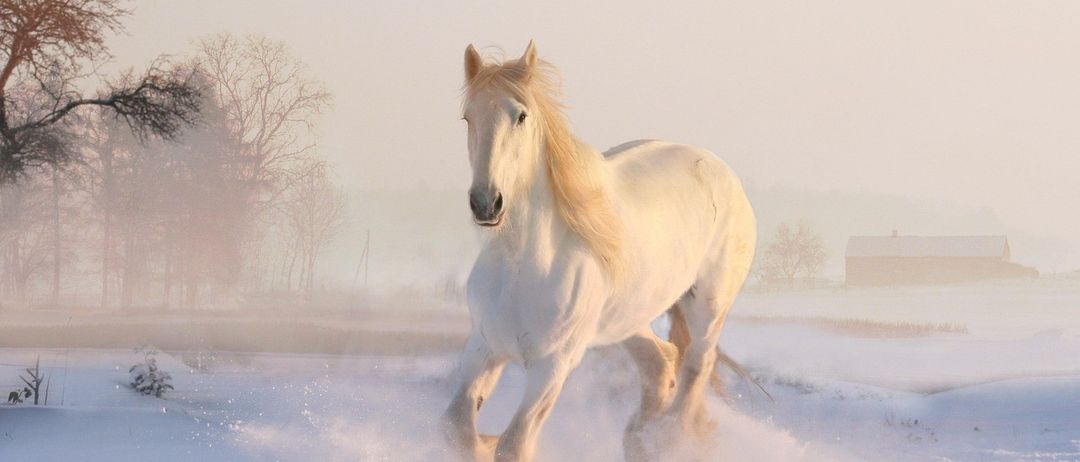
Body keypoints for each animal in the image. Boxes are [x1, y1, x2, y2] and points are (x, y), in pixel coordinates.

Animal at [442, 41, 757, 462]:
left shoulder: (552, 366)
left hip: (708, 305)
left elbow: (514, 444)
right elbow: (457, 428)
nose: (486, 203)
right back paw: (640, 438)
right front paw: (484, 439)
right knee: (660, 364)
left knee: (696, 366)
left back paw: (667, 436)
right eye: (467, 117)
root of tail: (721, 170)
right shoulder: (484, 347)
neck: (523, 267)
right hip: (628, 317)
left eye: (520, 115)